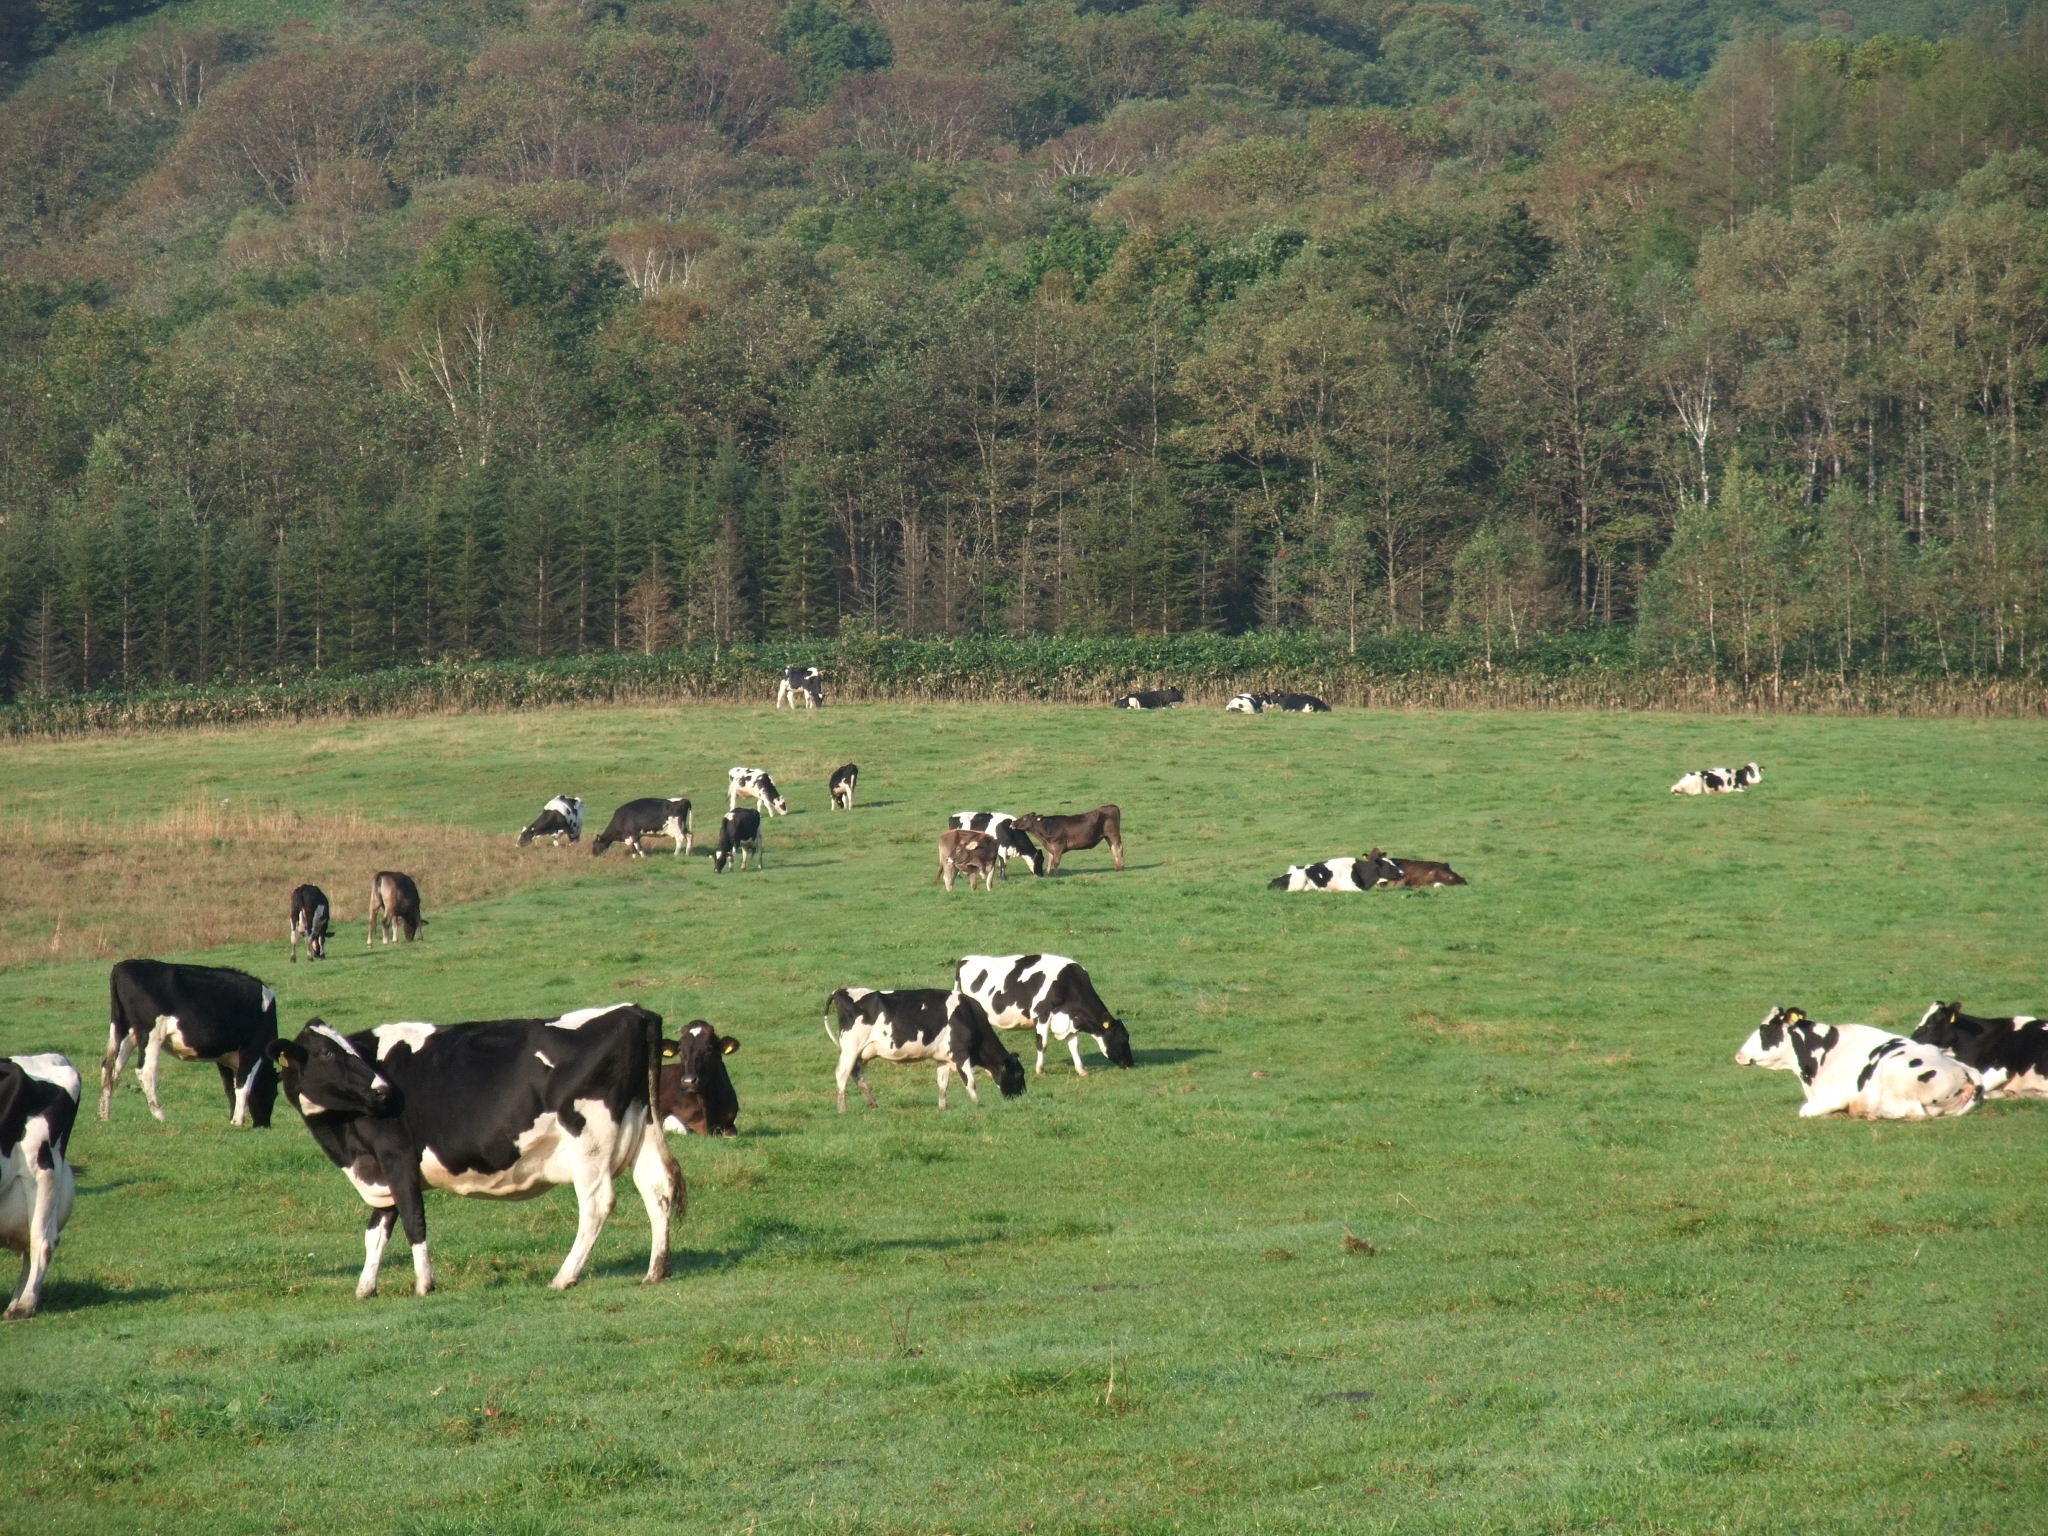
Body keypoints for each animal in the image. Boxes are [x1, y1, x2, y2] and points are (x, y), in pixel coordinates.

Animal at [100, 959, 279, 1127]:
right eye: (274, 1093)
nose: (264, 1125)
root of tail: (123, 965)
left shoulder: (224, 1057)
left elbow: (230, 1088)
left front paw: (232, 1118)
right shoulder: (252, 1049)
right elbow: (243, 1084)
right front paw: (238, 1121)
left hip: (124, 1031)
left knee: (110, 1068)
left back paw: (104, 1115)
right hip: (151, 1033)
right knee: (145, 1070)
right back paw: (161, 1115)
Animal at [269, 1004, 683, 1298]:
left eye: (346, 1050)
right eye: (328, 1053)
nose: (382, 1089)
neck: (348, 1148)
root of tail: (632, 1011)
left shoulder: (397, 1157)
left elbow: (413, 1220)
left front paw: (424, 1285)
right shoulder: (379, 1169)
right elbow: (376, 1230)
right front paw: (364, 1288)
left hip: (589, 1145)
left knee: (597, 1204)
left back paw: (564, 1276)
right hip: (644, 1128)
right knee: (658, 1189)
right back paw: (655, 1271)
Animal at [825, 987, 1025, 1112]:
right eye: (1018, 1074)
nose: (1022, 1096)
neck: (968, 1015)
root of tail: (842, 991)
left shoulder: (943, 1058)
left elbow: (943, 1084)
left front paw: (943, 1108)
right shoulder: (960, 1053)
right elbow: (970, 1081)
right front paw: (978, 1104)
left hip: (863, 1053)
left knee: (856, 1074)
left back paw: (873, 1104)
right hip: (851, 1048)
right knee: (842, 1074)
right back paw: (842, 1109)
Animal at [955, 954, 1134, 1076]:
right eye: (1123, 1038)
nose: (1131, 1063)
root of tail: (965, 959)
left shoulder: (1069, 1020)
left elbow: (1074, 1046)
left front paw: (1081, 1070)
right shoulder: (1041, 1014)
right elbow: (1042, 1044)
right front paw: (1040, 1070)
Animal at [1734, 1005, 1980, 1119]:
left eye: (1765, 1029)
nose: (1738, 1055)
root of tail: (1966, 1073)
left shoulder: (1836, 1095)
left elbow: (1804, 1111)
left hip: (1894, 1071)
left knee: (1913, 1112)